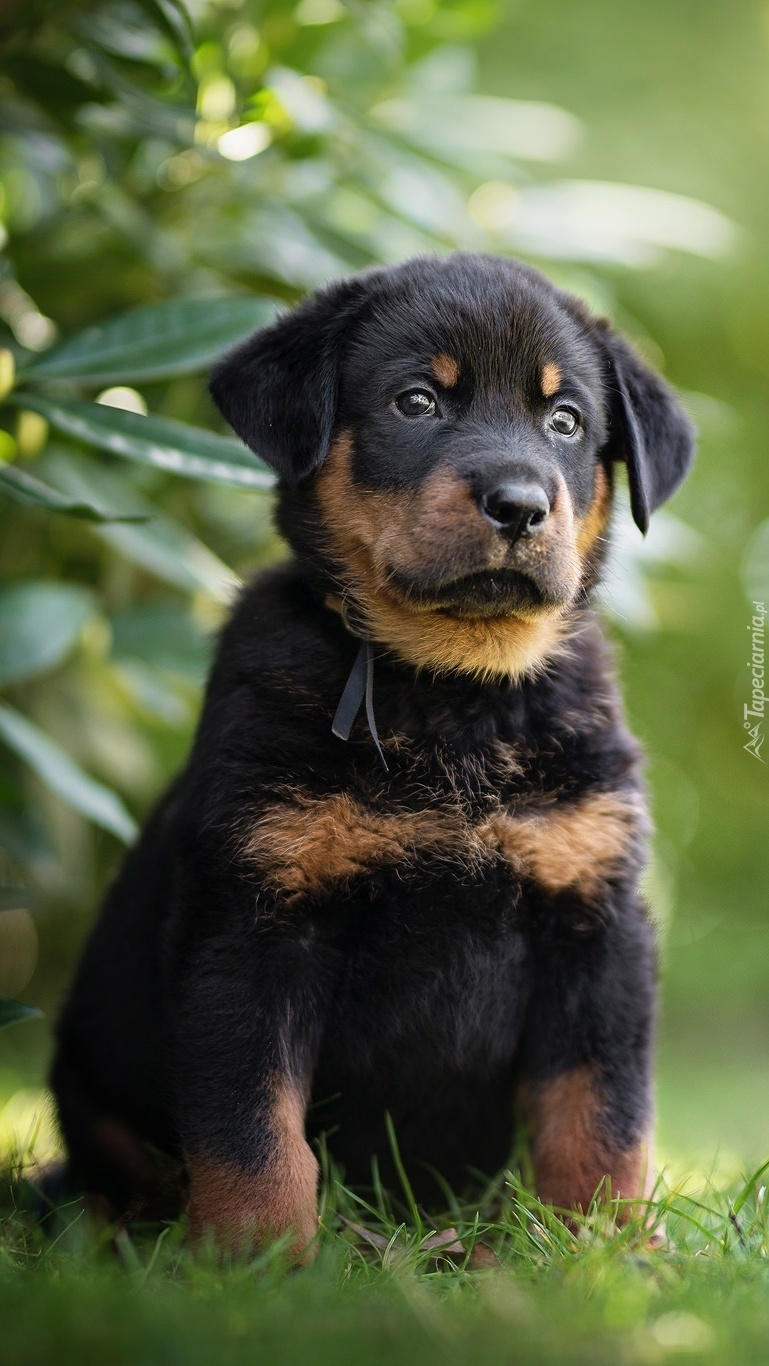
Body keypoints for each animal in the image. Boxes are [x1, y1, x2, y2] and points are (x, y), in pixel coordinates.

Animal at [51, 254, 693, 1256]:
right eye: (415, 402)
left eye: (565, 420)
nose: (520, 505)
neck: (455, 695)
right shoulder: (255, 921)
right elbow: (250, 1128)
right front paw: (257, 1265)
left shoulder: (596, 919)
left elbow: (601, 1111)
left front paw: (610, 1251)